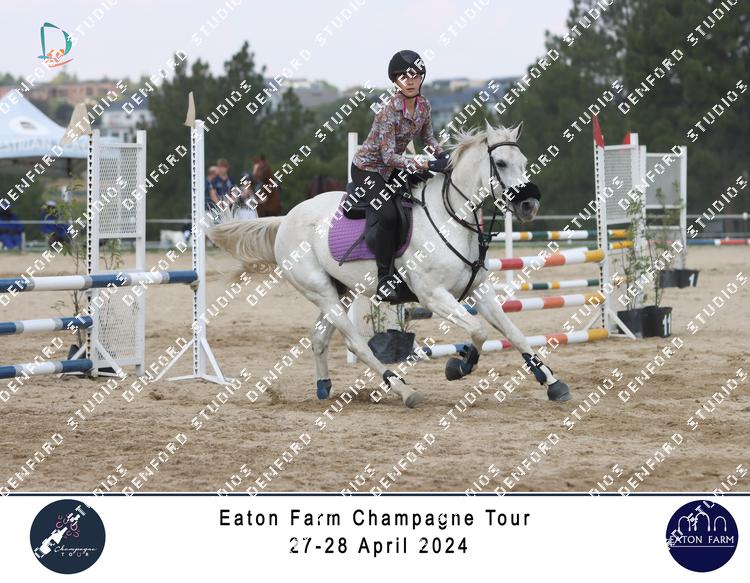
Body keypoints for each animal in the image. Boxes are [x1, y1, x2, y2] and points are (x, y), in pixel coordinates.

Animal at [208, 121, 571, 408]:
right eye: (500, 162)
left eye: (523, 161)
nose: (529, 204)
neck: (452, 219)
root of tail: (286, 219)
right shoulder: (433, 296)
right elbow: (478, 331)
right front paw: (459, 367)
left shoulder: (480, 291)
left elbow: (515, 333)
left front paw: (552, 382)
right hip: (320, 291)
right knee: (355, 342)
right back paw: (402, 389)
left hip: (341, 290)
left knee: (319, 337)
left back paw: (324, 387)